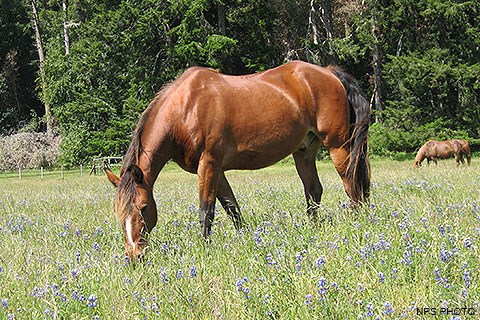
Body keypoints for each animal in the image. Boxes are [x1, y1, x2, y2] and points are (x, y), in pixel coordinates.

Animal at [103, 60, 370, 260]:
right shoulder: (216, 169)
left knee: (352, 186)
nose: (135, 256)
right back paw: (313, 230)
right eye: (117, 212)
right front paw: (246, 240)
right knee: (314, 190)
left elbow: (206, 211)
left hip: (338, 146)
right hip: (304, 151)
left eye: (143, 207)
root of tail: (329, 72)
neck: (185, 108)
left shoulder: (209, 164)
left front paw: (204, 249)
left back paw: (357, 225)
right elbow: (232, 208)